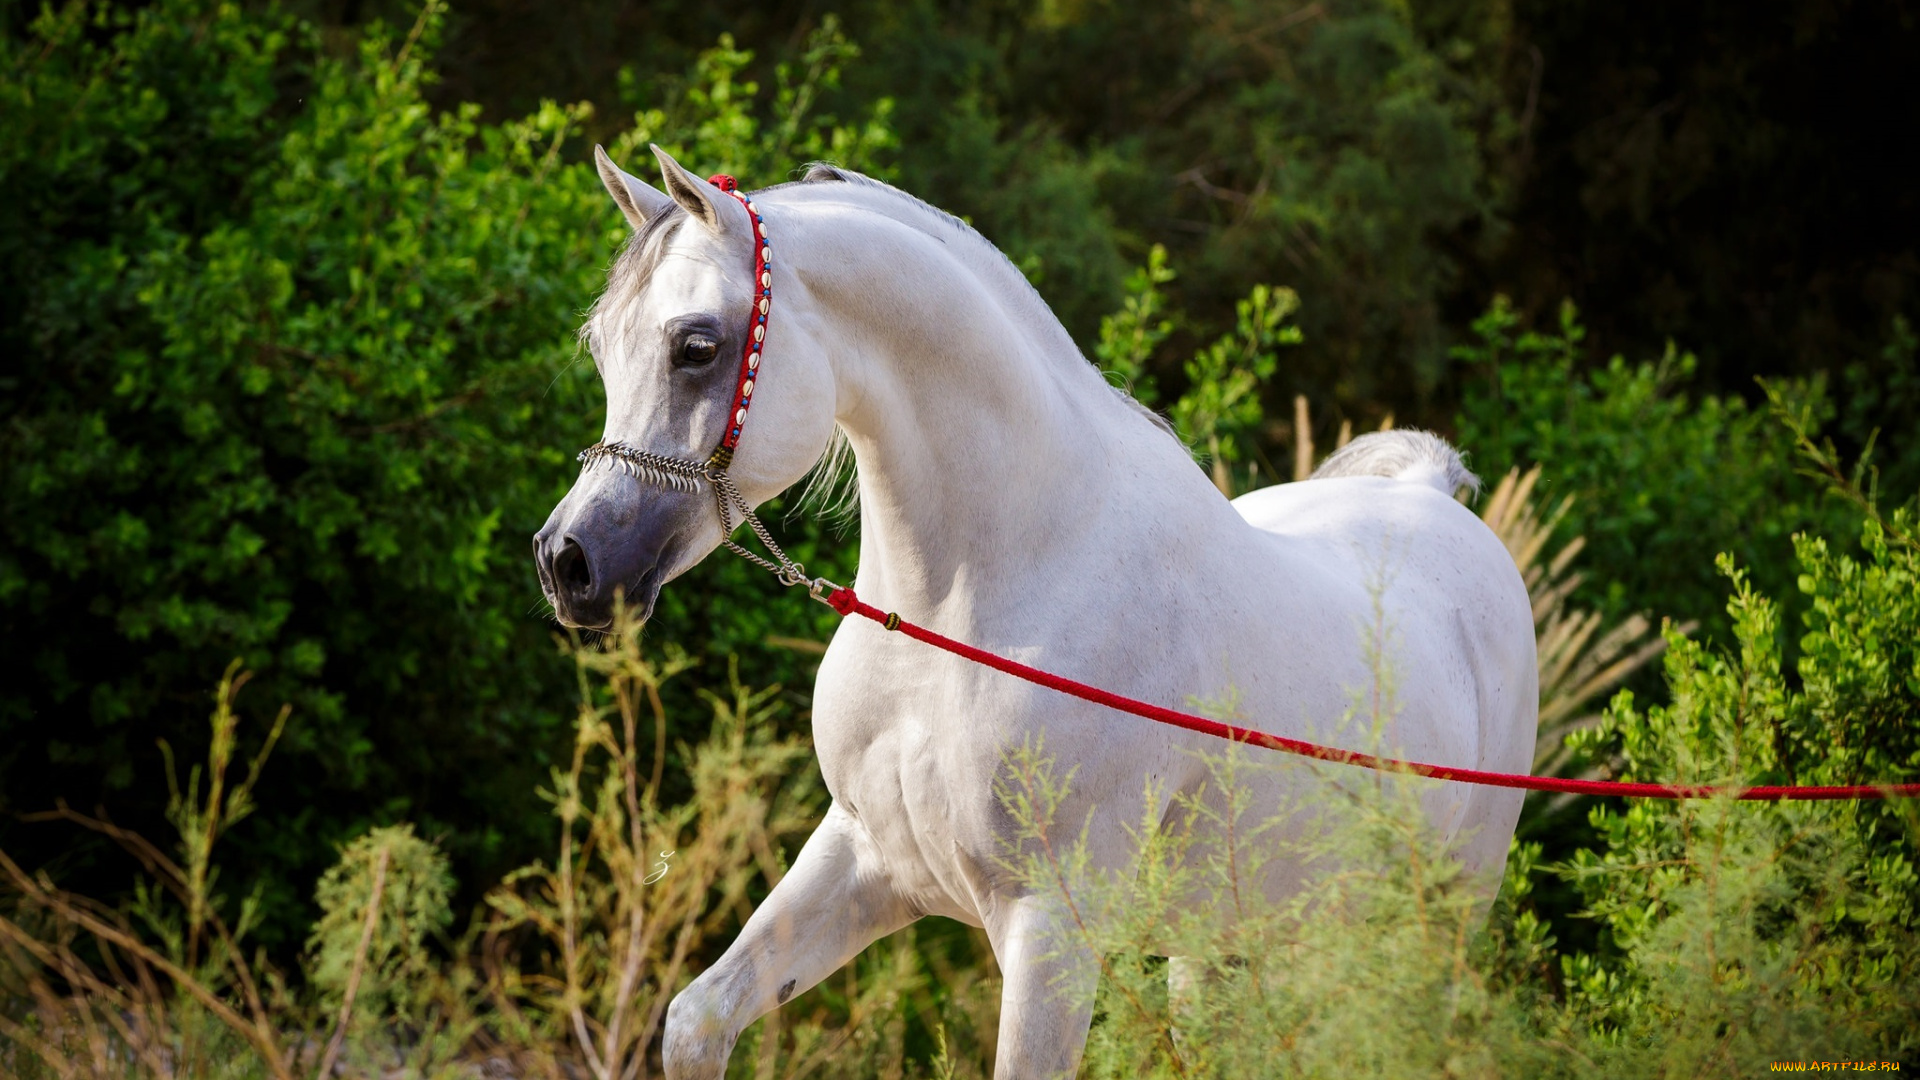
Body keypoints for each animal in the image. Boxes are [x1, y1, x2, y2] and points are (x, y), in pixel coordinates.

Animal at [533, 145, 1536, 1076]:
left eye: (696, 345)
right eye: (602, 346)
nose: (568, 564)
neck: (970, 605)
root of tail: (1429, 494)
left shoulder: (1051, 925)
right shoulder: (863, 857)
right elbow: (697, 1021)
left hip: (1444, 915)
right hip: (1219, 944)